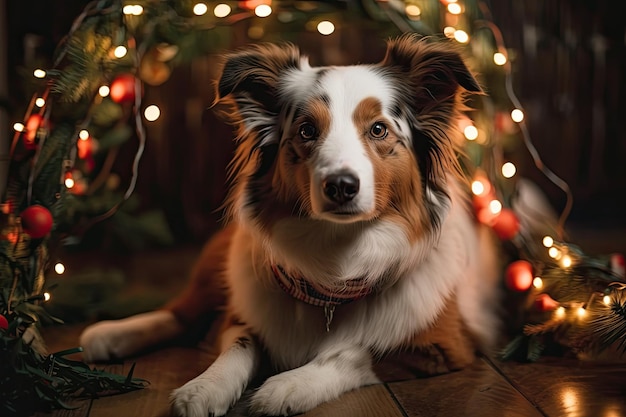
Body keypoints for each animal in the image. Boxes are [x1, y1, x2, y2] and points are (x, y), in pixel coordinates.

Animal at [79, 34, 498, 414]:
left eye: (378, 129)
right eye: (307, 130)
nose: (341, 186)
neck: (337, 273)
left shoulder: (444, 346)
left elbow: (353, 351)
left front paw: (289, 386)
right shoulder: (243, 313)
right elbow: (239, 345)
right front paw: (203, 388)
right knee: (181, 311)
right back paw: (109, 334)